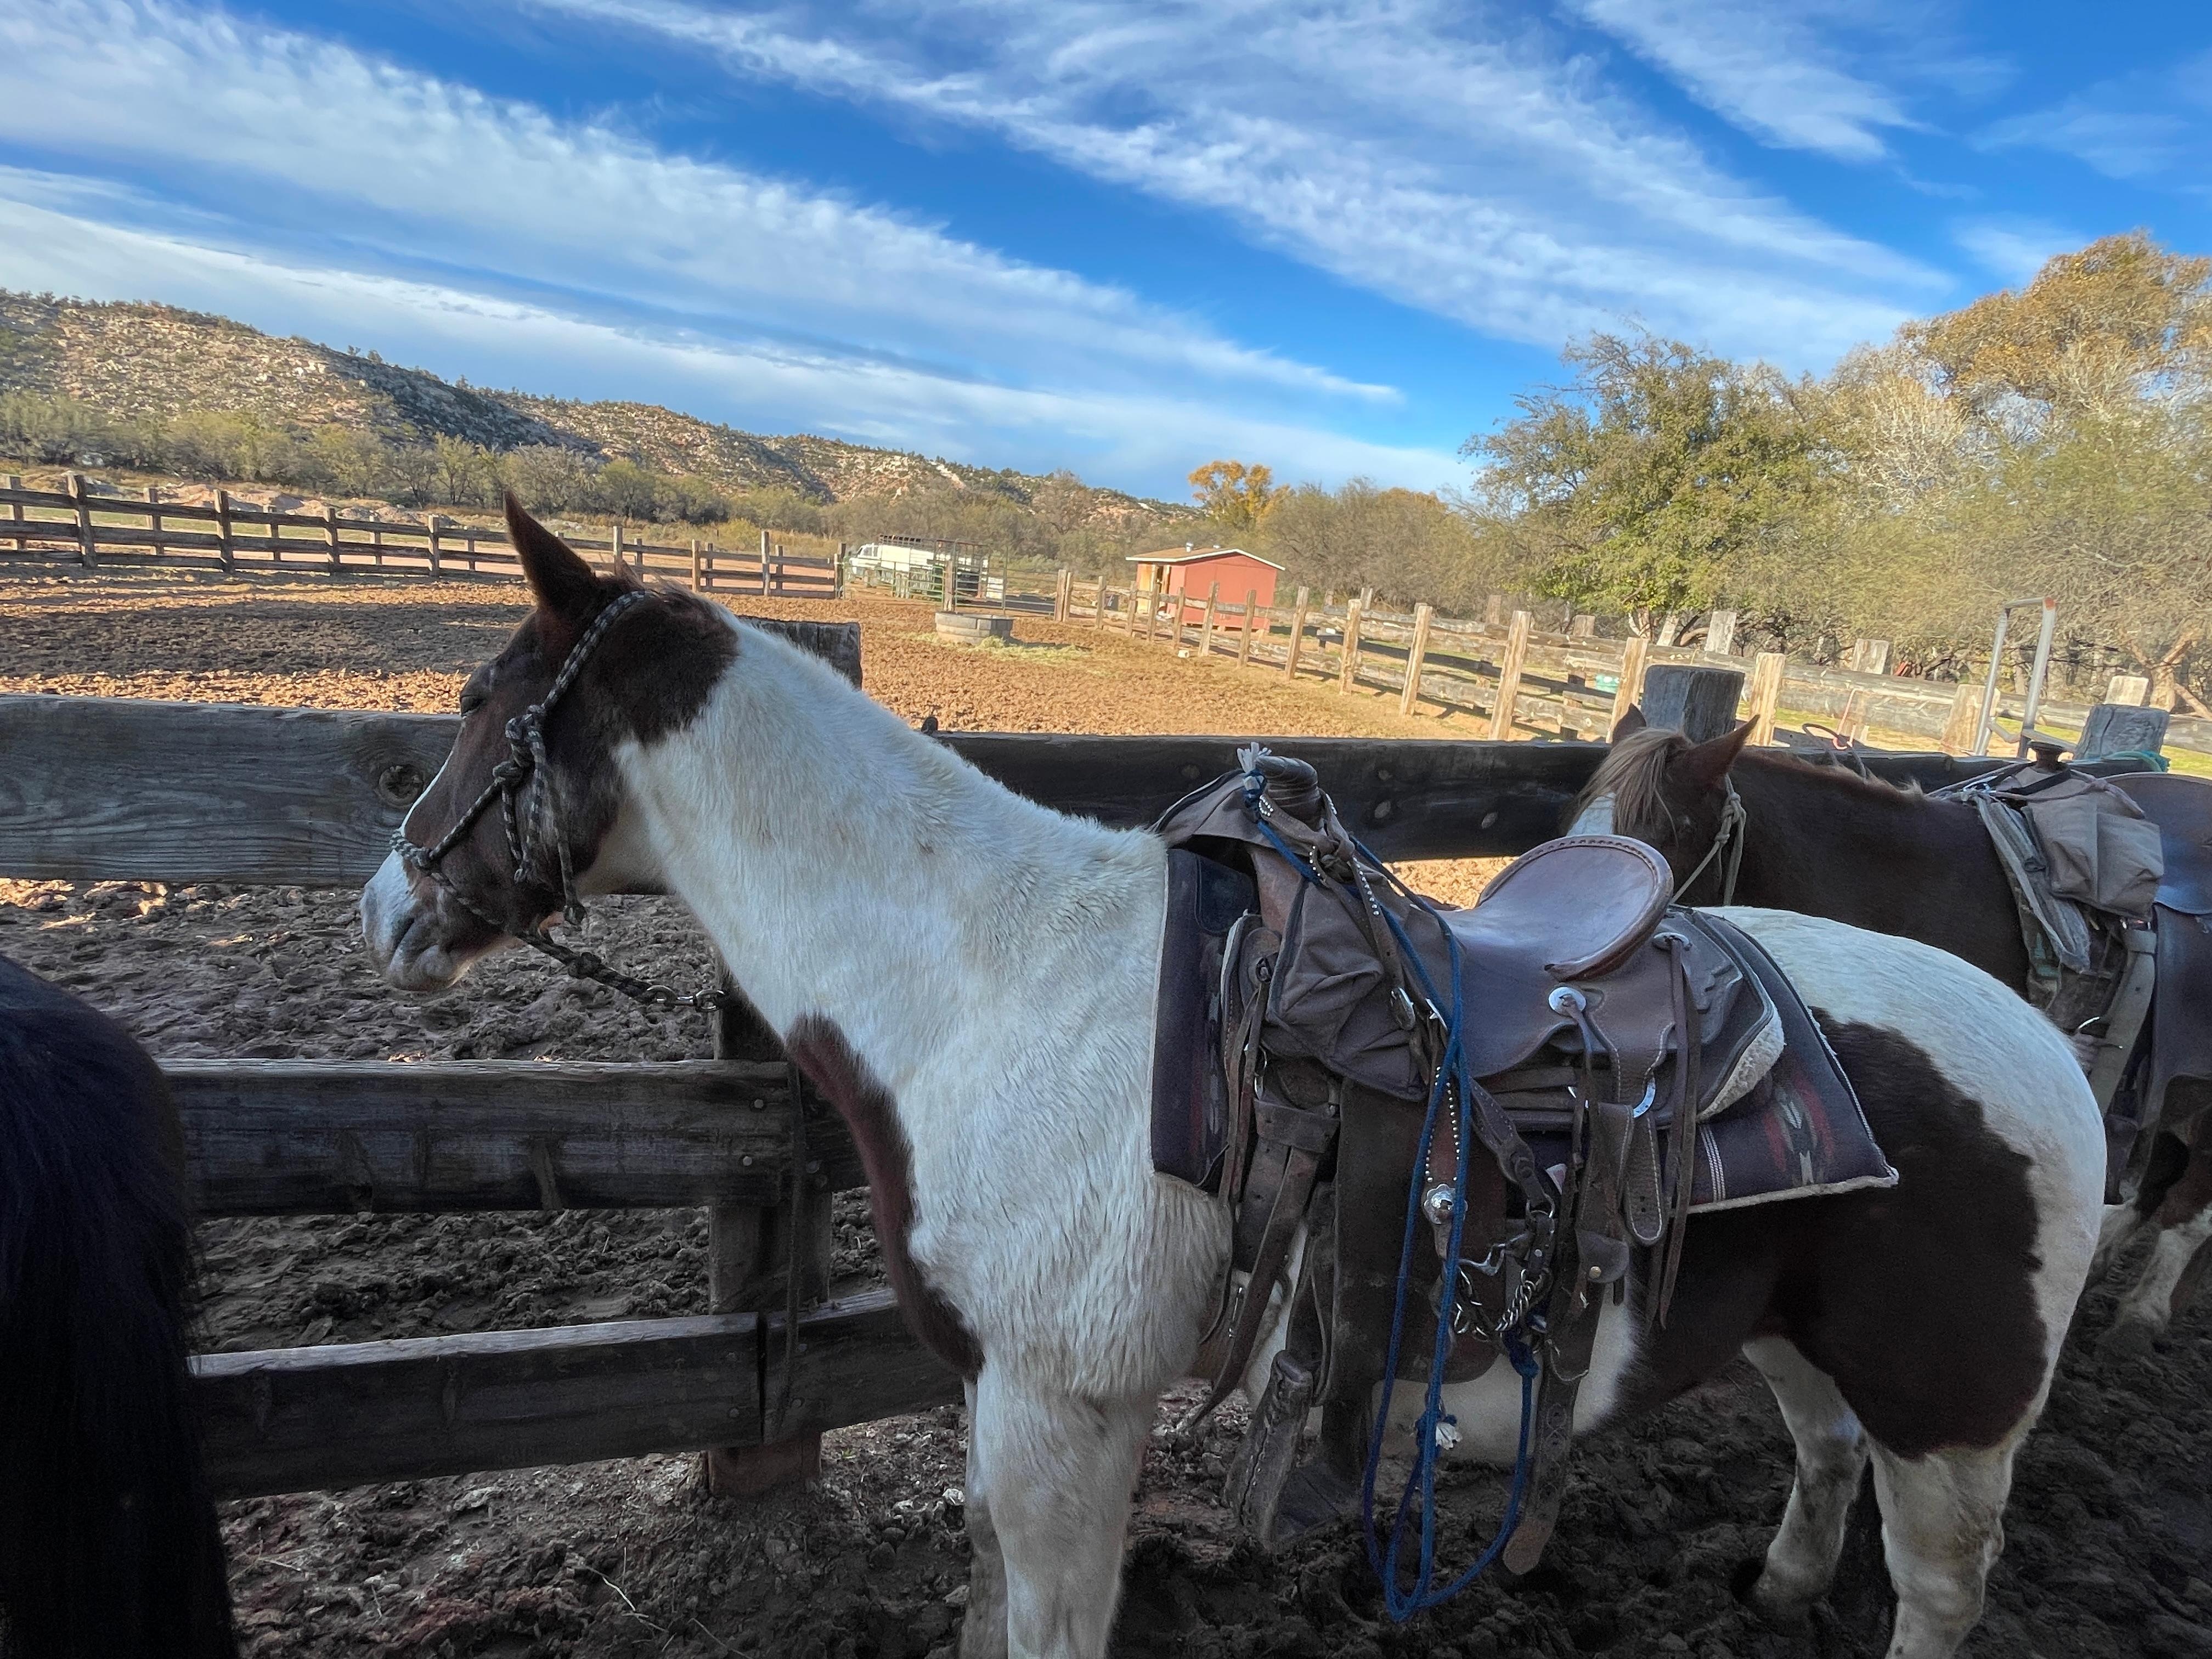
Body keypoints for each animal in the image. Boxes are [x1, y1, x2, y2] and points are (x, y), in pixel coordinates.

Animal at [360, 496, 2105, 1659]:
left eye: (474, 704)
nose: (384, 908)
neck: (986, 983)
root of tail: (2052, 1057)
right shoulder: (1008, 1403)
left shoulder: (1066, 1413)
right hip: (1802, 1340)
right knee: (1824, 1455)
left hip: (1956, 1419)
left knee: (1941, 1586)